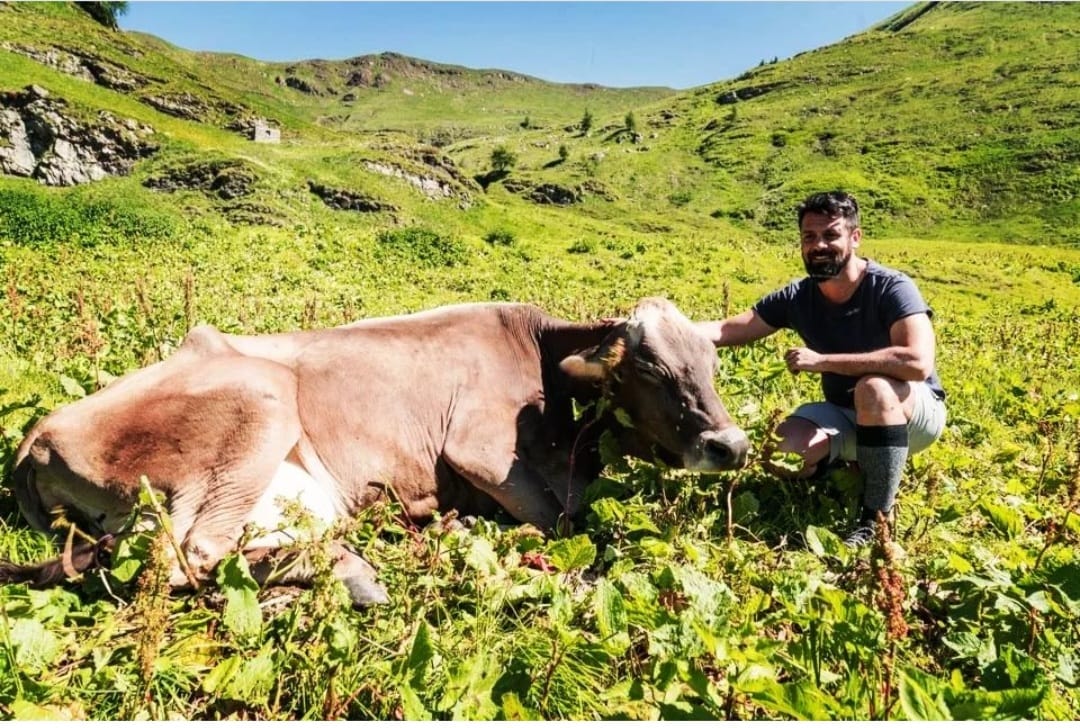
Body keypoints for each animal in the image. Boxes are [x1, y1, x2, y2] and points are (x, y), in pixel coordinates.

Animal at [0, 293, 747, 600]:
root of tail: (38, 431)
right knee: (185, 555)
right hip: (263, 401)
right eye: (651, 369)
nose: (731, 444)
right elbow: (565, 522)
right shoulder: (478, 448)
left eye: (712, 365)